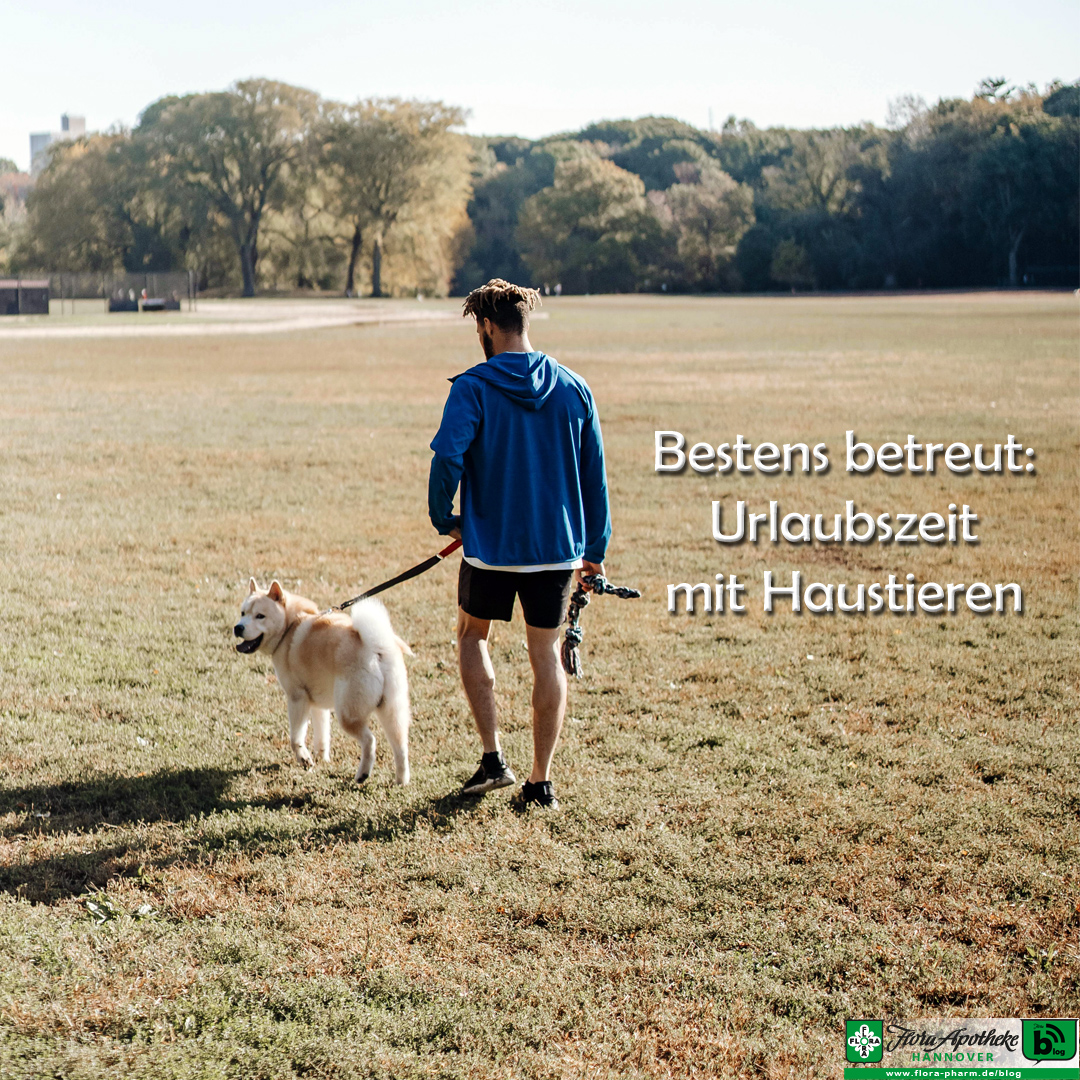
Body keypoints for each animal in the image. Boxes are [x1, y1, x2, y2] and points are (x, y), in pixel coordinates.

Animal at [236, 583, 412, 786]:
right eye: (243, 613)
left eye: (260, 616)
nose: (237, 628)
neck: (289, 626)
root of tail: (376, 647)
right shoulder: (317, 704)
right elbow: (322, 736)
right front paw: (322, 759)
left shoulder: (297, 698)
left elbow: (295, 738)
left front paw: (304, 759)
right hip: (391, 711)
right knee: (401, 748)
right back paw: (401, 781)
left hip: (348, 714)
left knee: (370, 741)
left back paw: (362, 774)